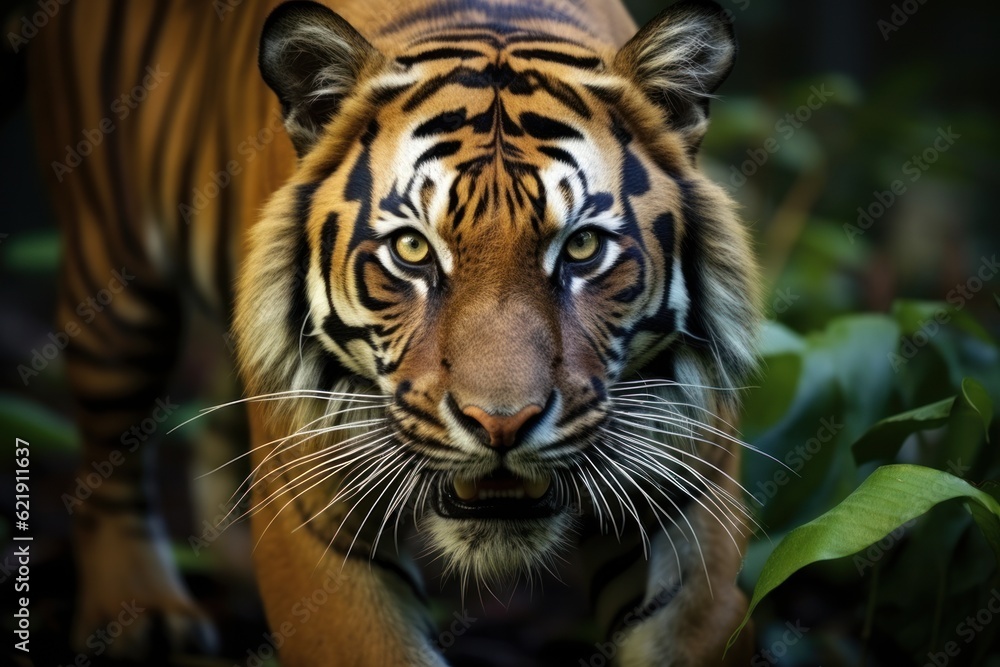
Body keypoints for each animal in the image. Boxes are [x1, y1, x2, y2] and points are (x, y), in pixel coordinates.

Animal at [29, 0, 760, 664]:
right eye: (412, 250)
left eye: (581, 247)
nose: (500, 425)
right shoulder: (315, 529)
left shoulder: (690, 509)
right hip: (114, 275)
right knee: (109, 454)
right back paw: (140, 615)